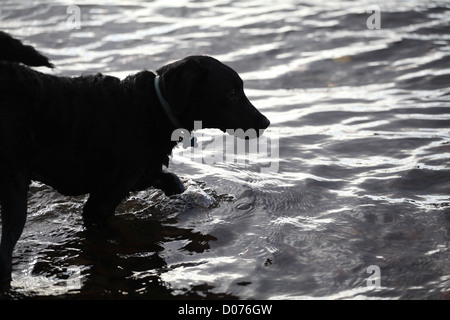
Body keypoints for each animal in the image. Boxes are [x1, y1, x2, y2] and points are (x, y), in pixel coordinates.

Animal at [0, 32, 270, 284]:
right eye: (233, 93)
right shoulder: (101, 202)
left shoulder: (137, 173)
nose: (266, 122)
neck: (154, 108)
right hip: (15, 192)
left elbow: (164, 177)